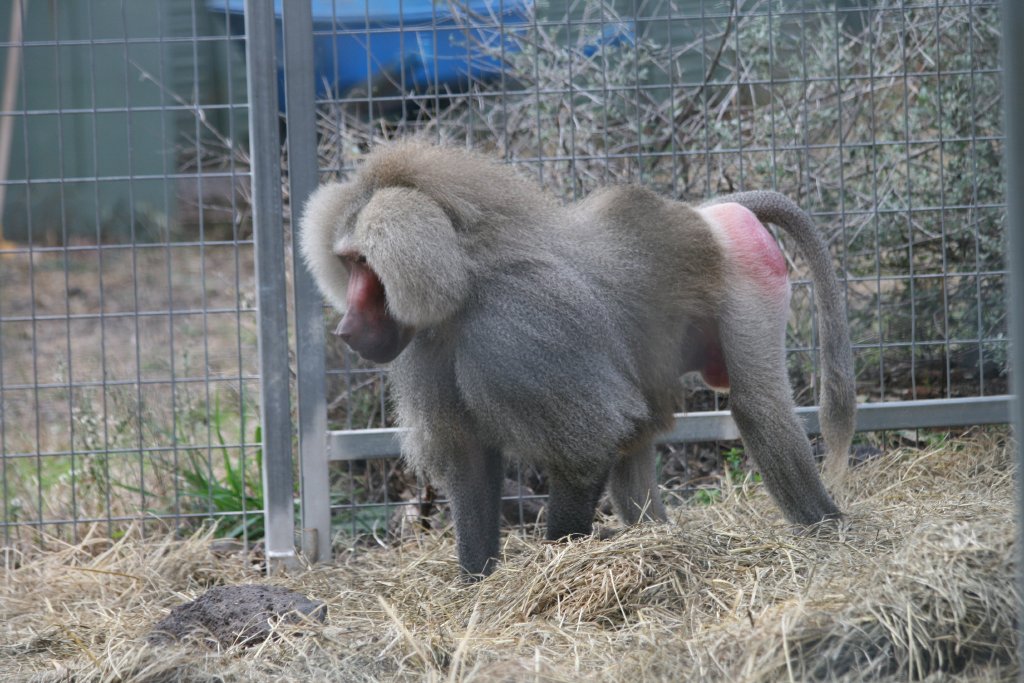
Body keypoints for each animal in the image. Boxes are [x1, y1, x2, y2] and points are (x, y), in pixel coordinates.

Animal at [299, 142, 856, 577]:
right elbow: (471, 465)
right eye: (347, 262)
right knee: (639, 443)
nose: (345, 329)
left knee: (757, 406)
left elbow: (588, 448)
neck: (465, 278)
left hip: (748, 277)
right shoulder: (425, 350)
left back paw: (828, 529)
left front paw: (561, 562)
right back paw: (661, 541)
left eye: (364, 262)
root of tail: (705, 214)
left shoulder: (518, 329)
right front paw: (476, 585)